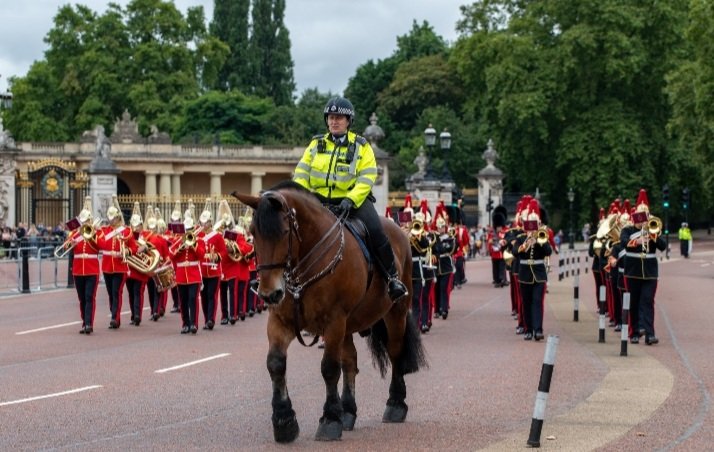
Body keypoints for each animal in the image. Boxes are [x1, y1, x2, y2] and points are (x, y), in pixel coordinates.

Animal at [232, 180, 422, 442]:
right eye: (252, 232)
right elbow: (276, 363)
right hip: (350, 324)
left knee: (395, 352)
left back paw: (395, 404)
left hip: (395, 312)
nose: (269, 294)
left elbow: (329, 368)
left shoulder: (333, 321)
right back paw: (348, 412)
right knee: (350, 361)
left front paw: (330, 419)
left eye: (284, 232)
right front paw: (284, 421)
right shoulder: (281, 320)